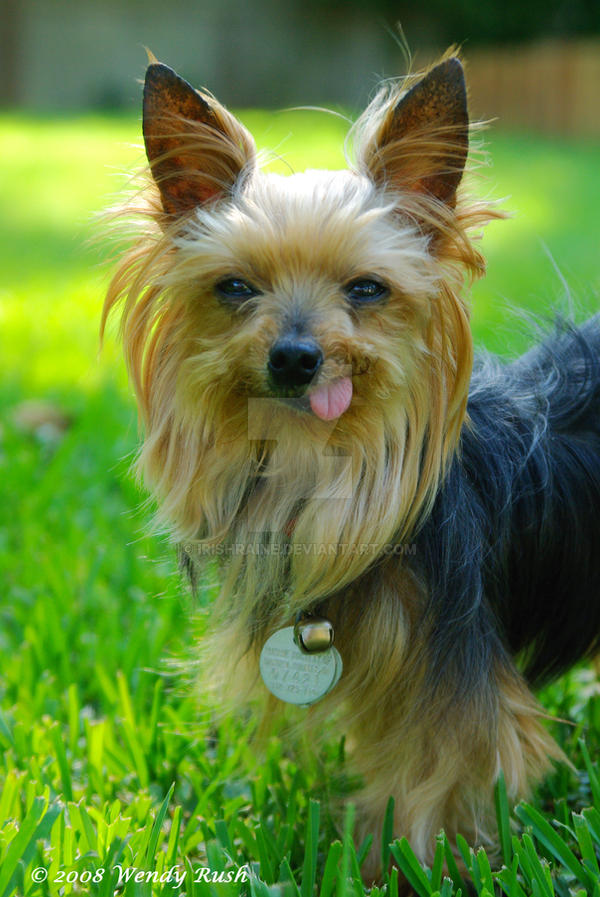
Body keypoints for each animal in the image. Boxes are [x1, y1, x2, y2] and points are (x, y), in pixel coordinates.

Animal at [103, 52, 600, 880]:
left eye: (368, 288)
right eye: (234, 287)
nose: (296, 357)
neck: (322, 461)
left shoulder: (454, 685)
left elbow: (438, 784)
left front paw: (401, 865)